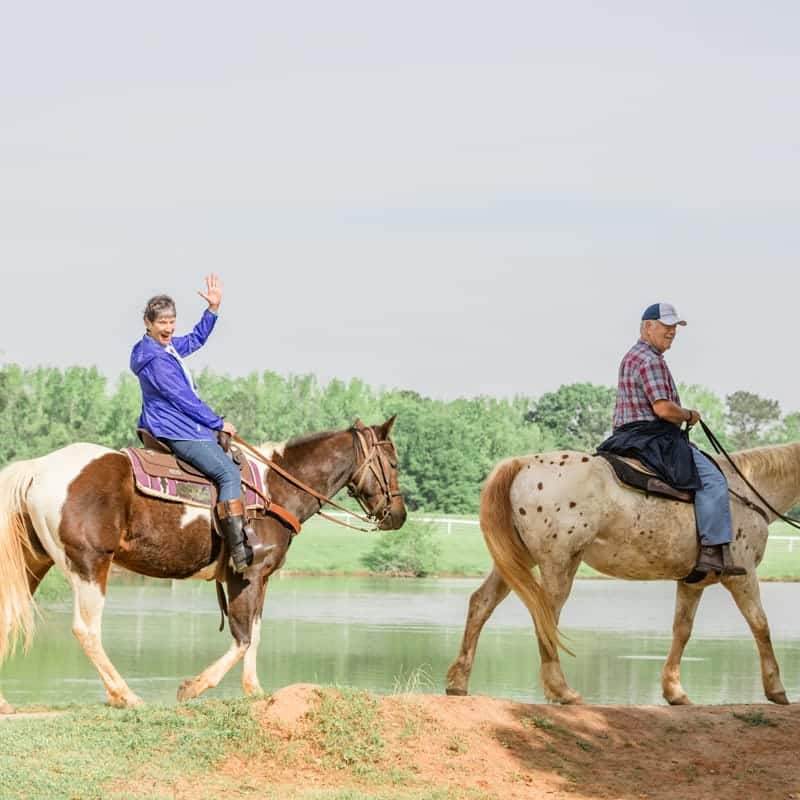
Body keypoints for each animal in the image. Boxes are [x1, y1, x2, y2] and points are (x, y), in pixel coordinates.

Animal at [0, 416, 404, 708]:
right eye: (394, 462)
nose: (398, 516)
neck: (274, 490)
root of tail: (38, 468)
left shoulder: (261, 579)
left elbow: (255, 633)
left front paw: (254, 690)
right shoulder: (247, 574)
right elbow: (242, 637)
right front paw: (193, 687)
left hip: (34, 562)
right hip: (89, 564)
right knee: (87, 630)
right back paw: (125, 695)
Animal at [446, 444, 796, 708]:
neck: (747, 489)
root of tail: (523, 463)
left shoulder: (691, 582)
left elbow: (682, 630)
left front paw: (675, 692)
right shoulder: (742, 575)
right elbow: (760, 625)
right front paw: (776, 689)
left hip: (518, 561)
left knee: (481, 604)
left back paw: (458, 683)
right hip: (558, 563)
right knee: (546, 617)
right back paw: (563, 691)